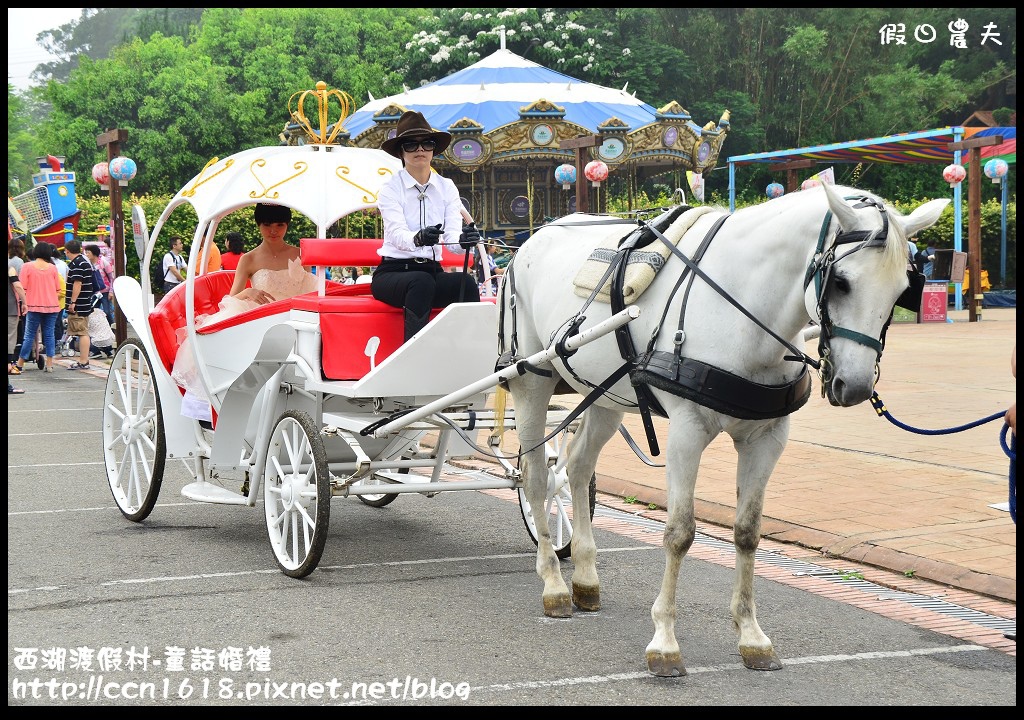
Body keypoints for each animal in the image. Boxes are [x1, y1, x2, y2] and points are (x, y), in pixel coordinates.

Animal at [499, 183, 946, 680]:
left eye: (903, 289)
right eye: (842, 281)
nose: (856, 386)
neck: (743, 307)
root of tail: (529, 243)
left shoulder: (767, 438)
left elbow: (748, 532)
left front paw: (752, 637)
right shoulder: (687, 432)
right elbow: (679, 533)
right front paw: (665, 642)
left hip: (605, 394)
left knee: (575, 470)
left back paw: (585, 578)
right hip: (531, 379)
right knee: (537, 478)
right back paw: (554, 584)